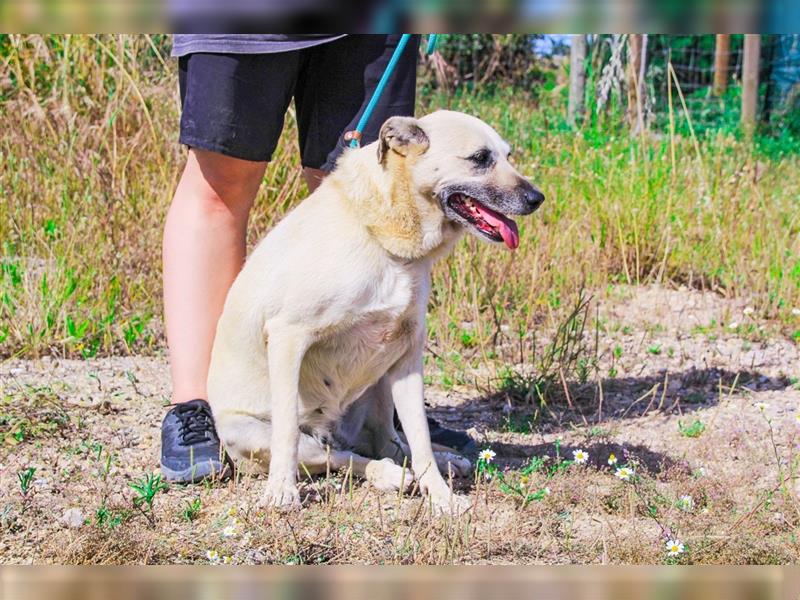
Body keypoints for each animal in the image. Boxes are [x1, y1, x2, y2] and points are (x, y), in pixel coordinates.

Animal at [206, 110, 544, 512]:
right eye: (480, 158)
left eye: (508, 156)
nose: (537, 198)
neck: (384, 239)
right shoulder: (288, 336)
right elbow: (286, 433)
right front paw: (281, 490)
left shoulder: (407, 354)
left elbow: (420, 437)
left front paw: (441, 497)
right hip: (253, 432)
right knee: (338, 456)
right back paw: (387, 475)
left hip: (379, 383)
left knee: (387, 443)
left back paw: (441, 462)